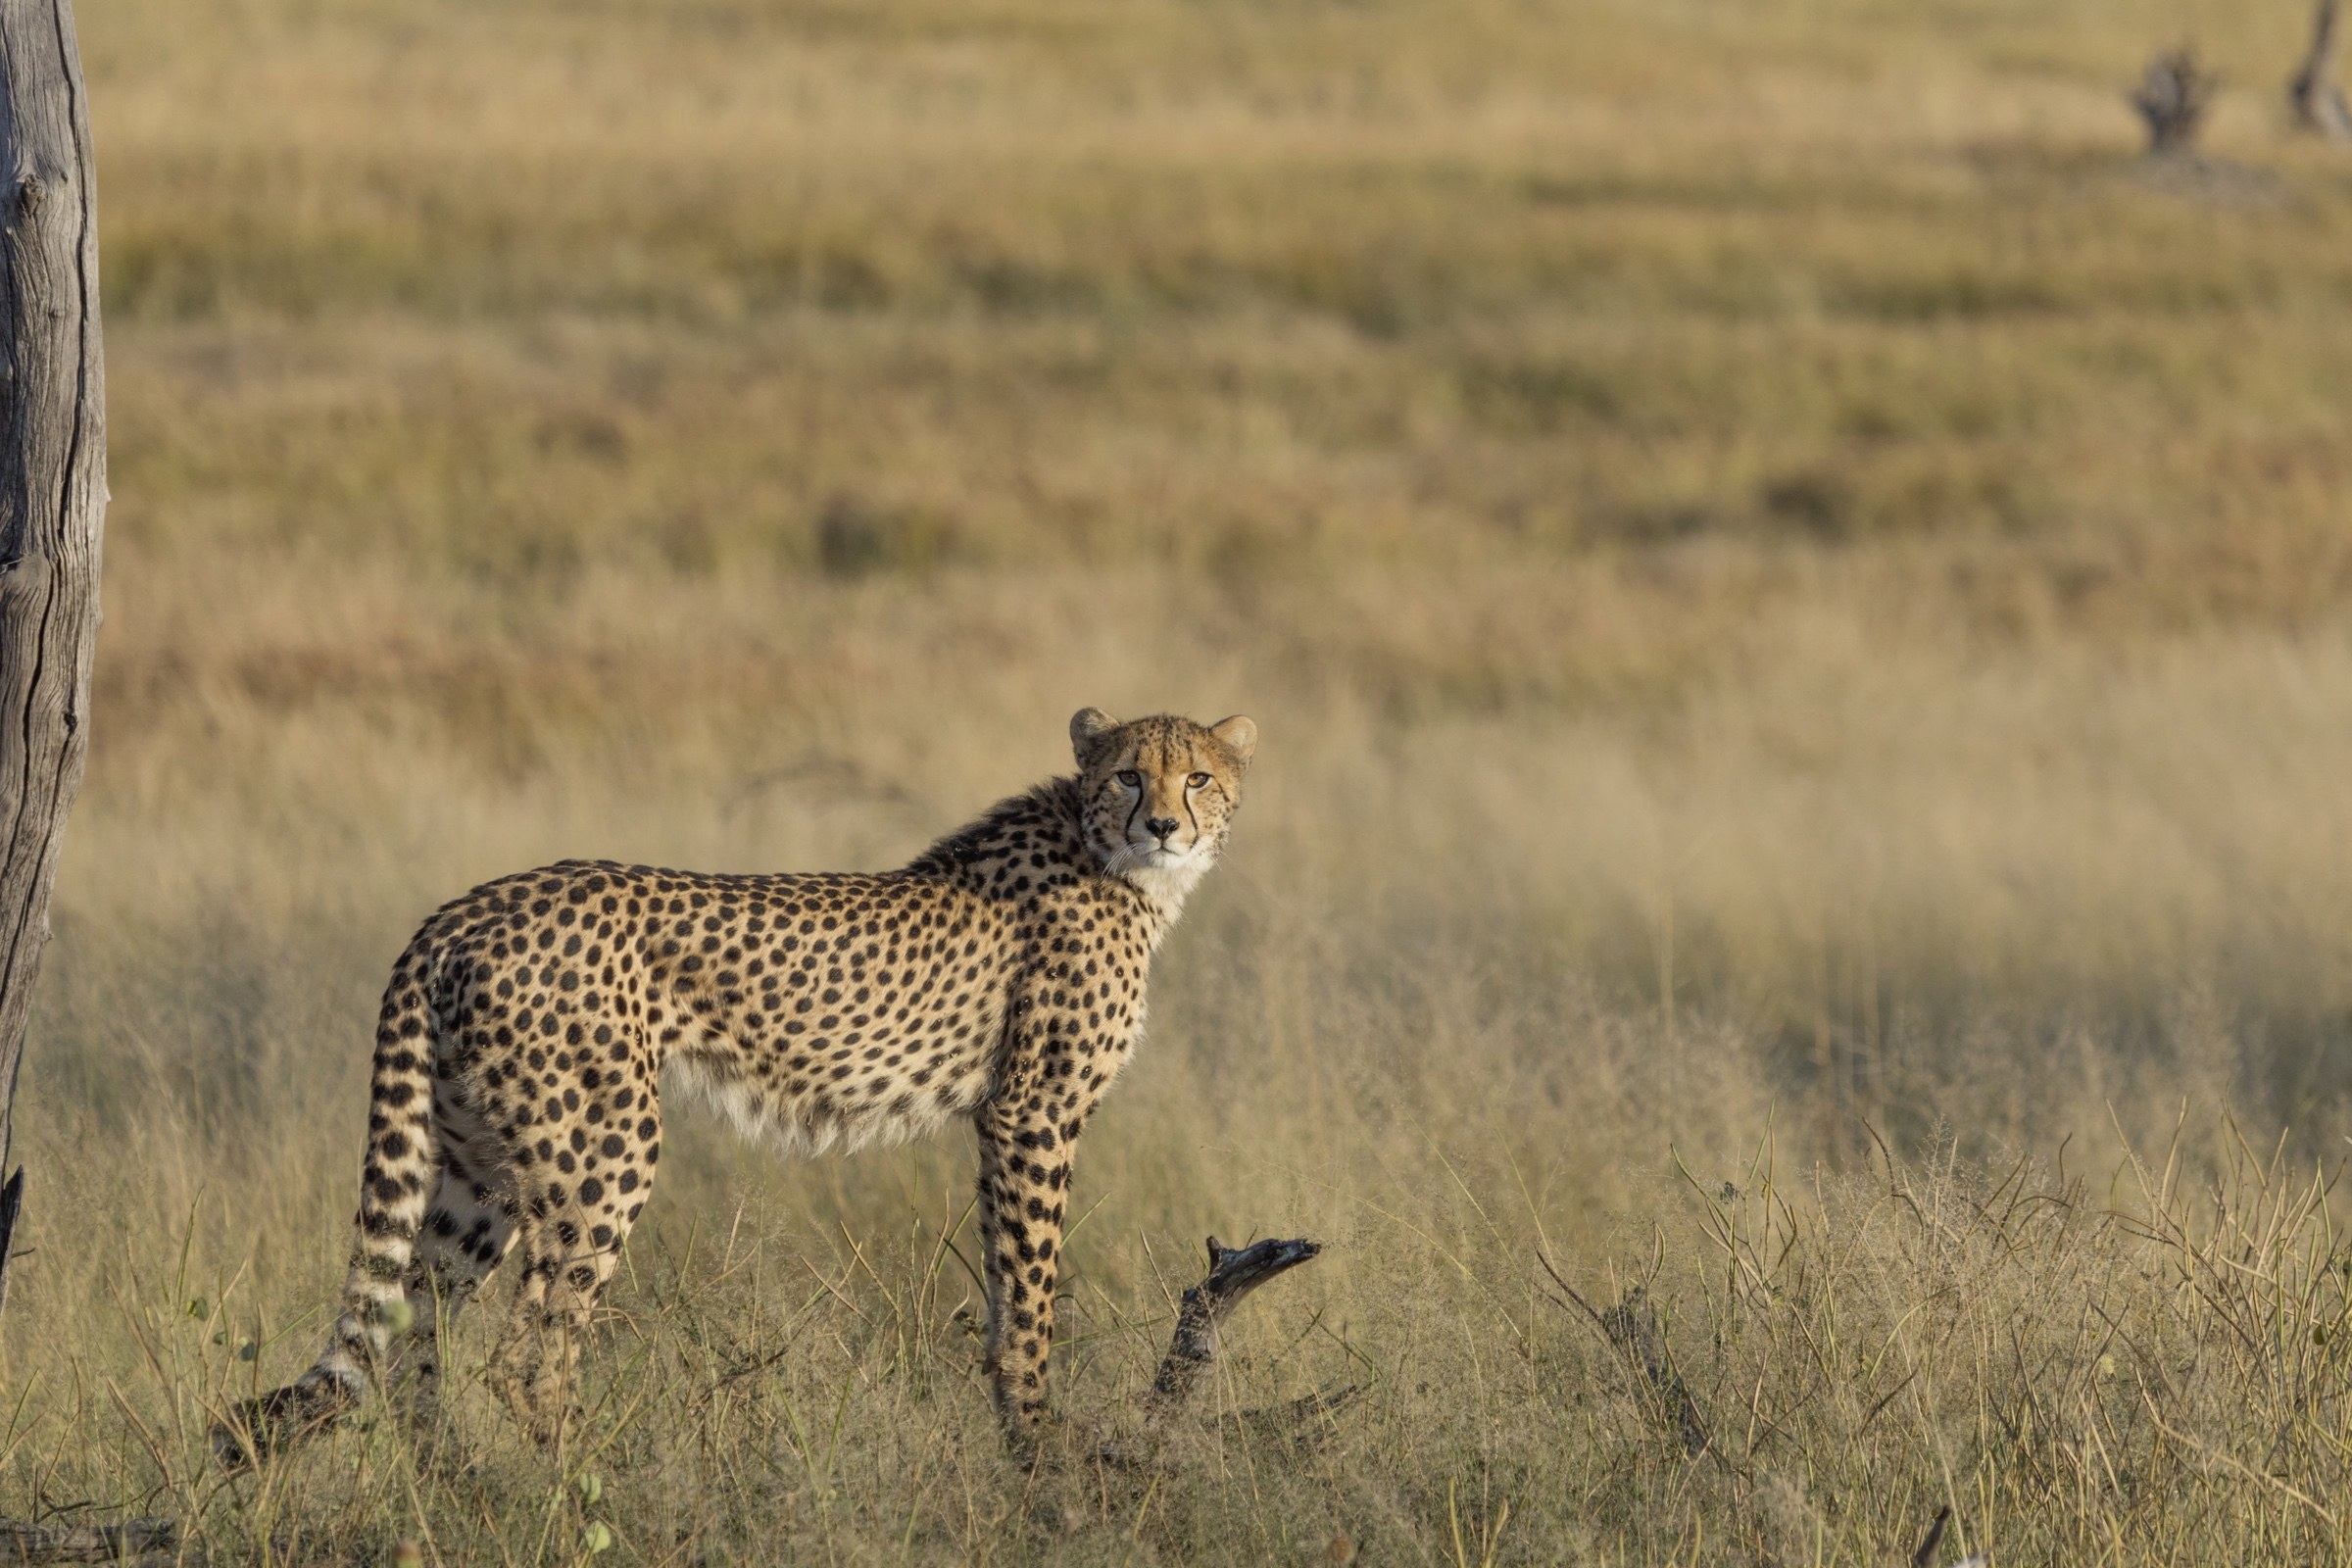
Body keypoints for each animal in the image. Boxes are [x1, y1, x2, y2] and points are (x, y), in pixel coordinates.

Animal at [214, 707, 1256, 1467]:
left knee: (411, 1334)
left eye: (1197, 776)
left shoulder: (1003, 1121)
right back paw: (591, 1492)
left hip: (479, 1165)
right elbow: (1034, 1281)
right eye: (1128, 774)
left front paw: (1014, 1420)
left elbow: (1007, 1278)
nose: (1164, 824)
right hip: (603, 1147)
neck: (1114, 862)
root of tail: (463, 907)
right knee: (526, 1357)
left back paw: (460, 1490)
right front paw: (1041, 1433)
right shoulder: (1034, 1111)